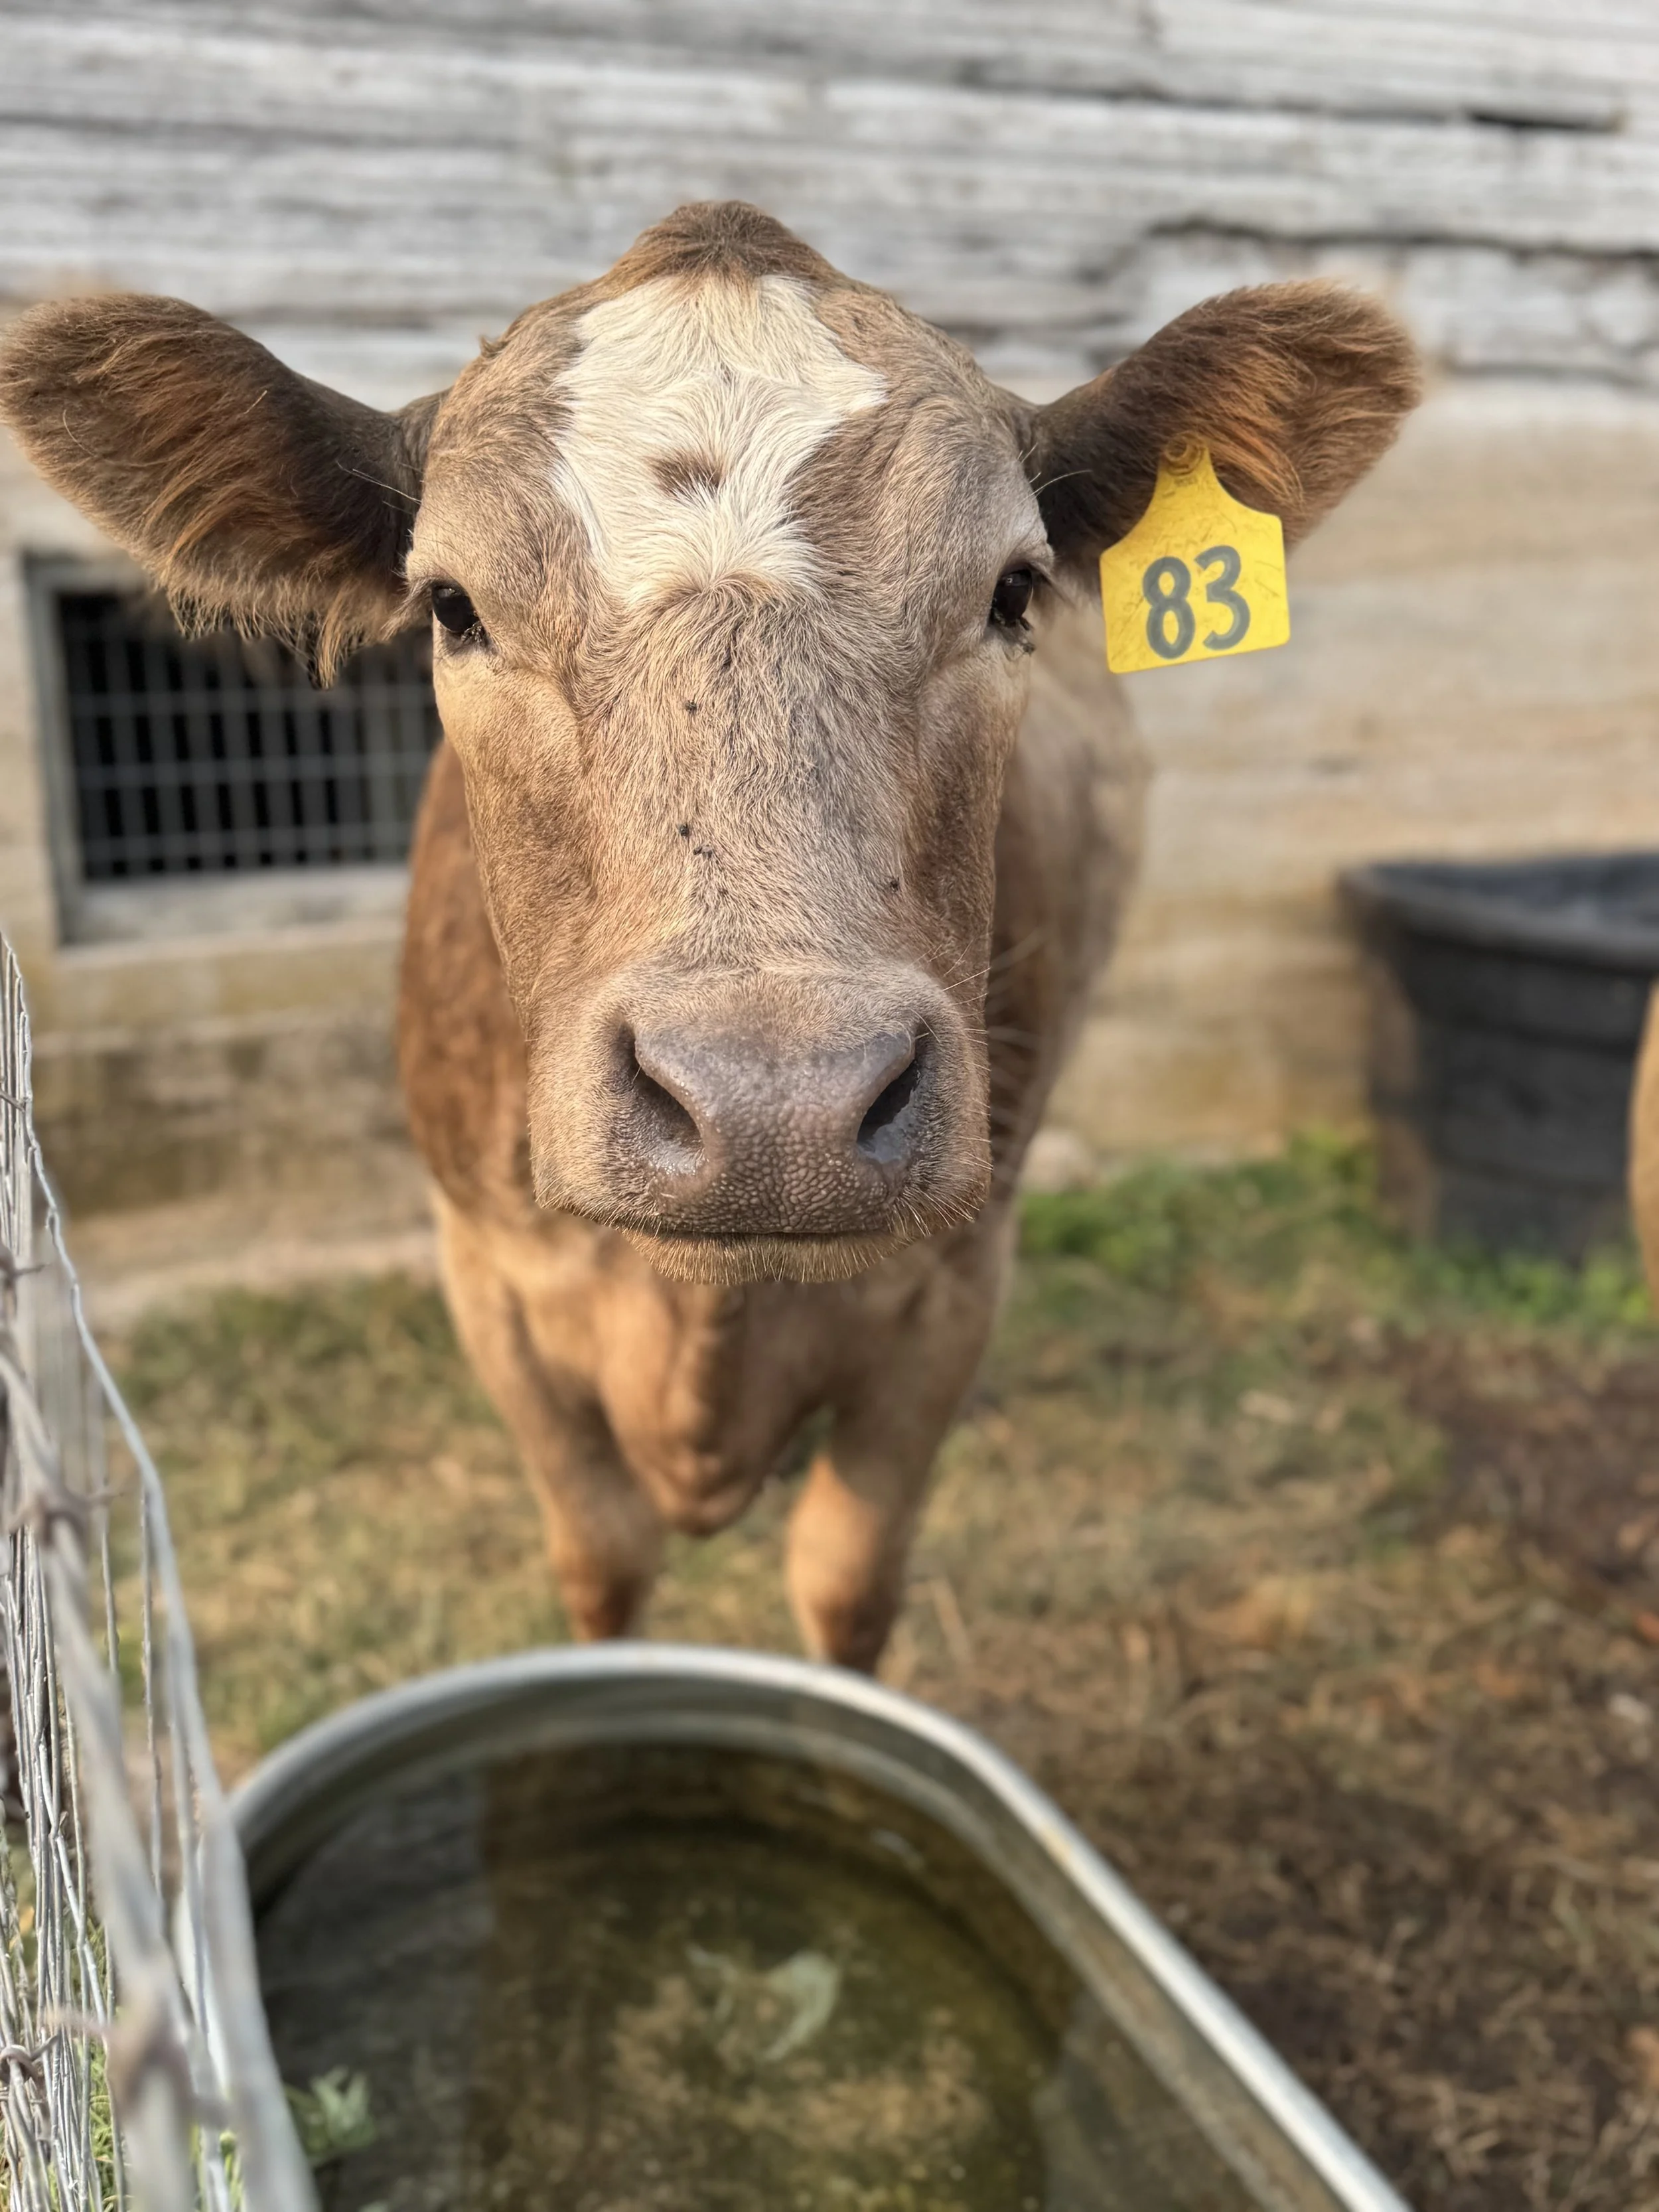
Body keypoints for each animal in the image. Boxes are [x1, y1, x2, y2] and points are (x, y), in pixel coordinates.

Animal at [0, 203, 1418, 1667]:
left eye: (1013, 593)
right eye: (453, 606)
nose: (774, 1106)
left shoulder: (955, 1282)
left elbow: (847, 1574)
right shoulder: (486, 1278)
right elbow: (603, 1555)